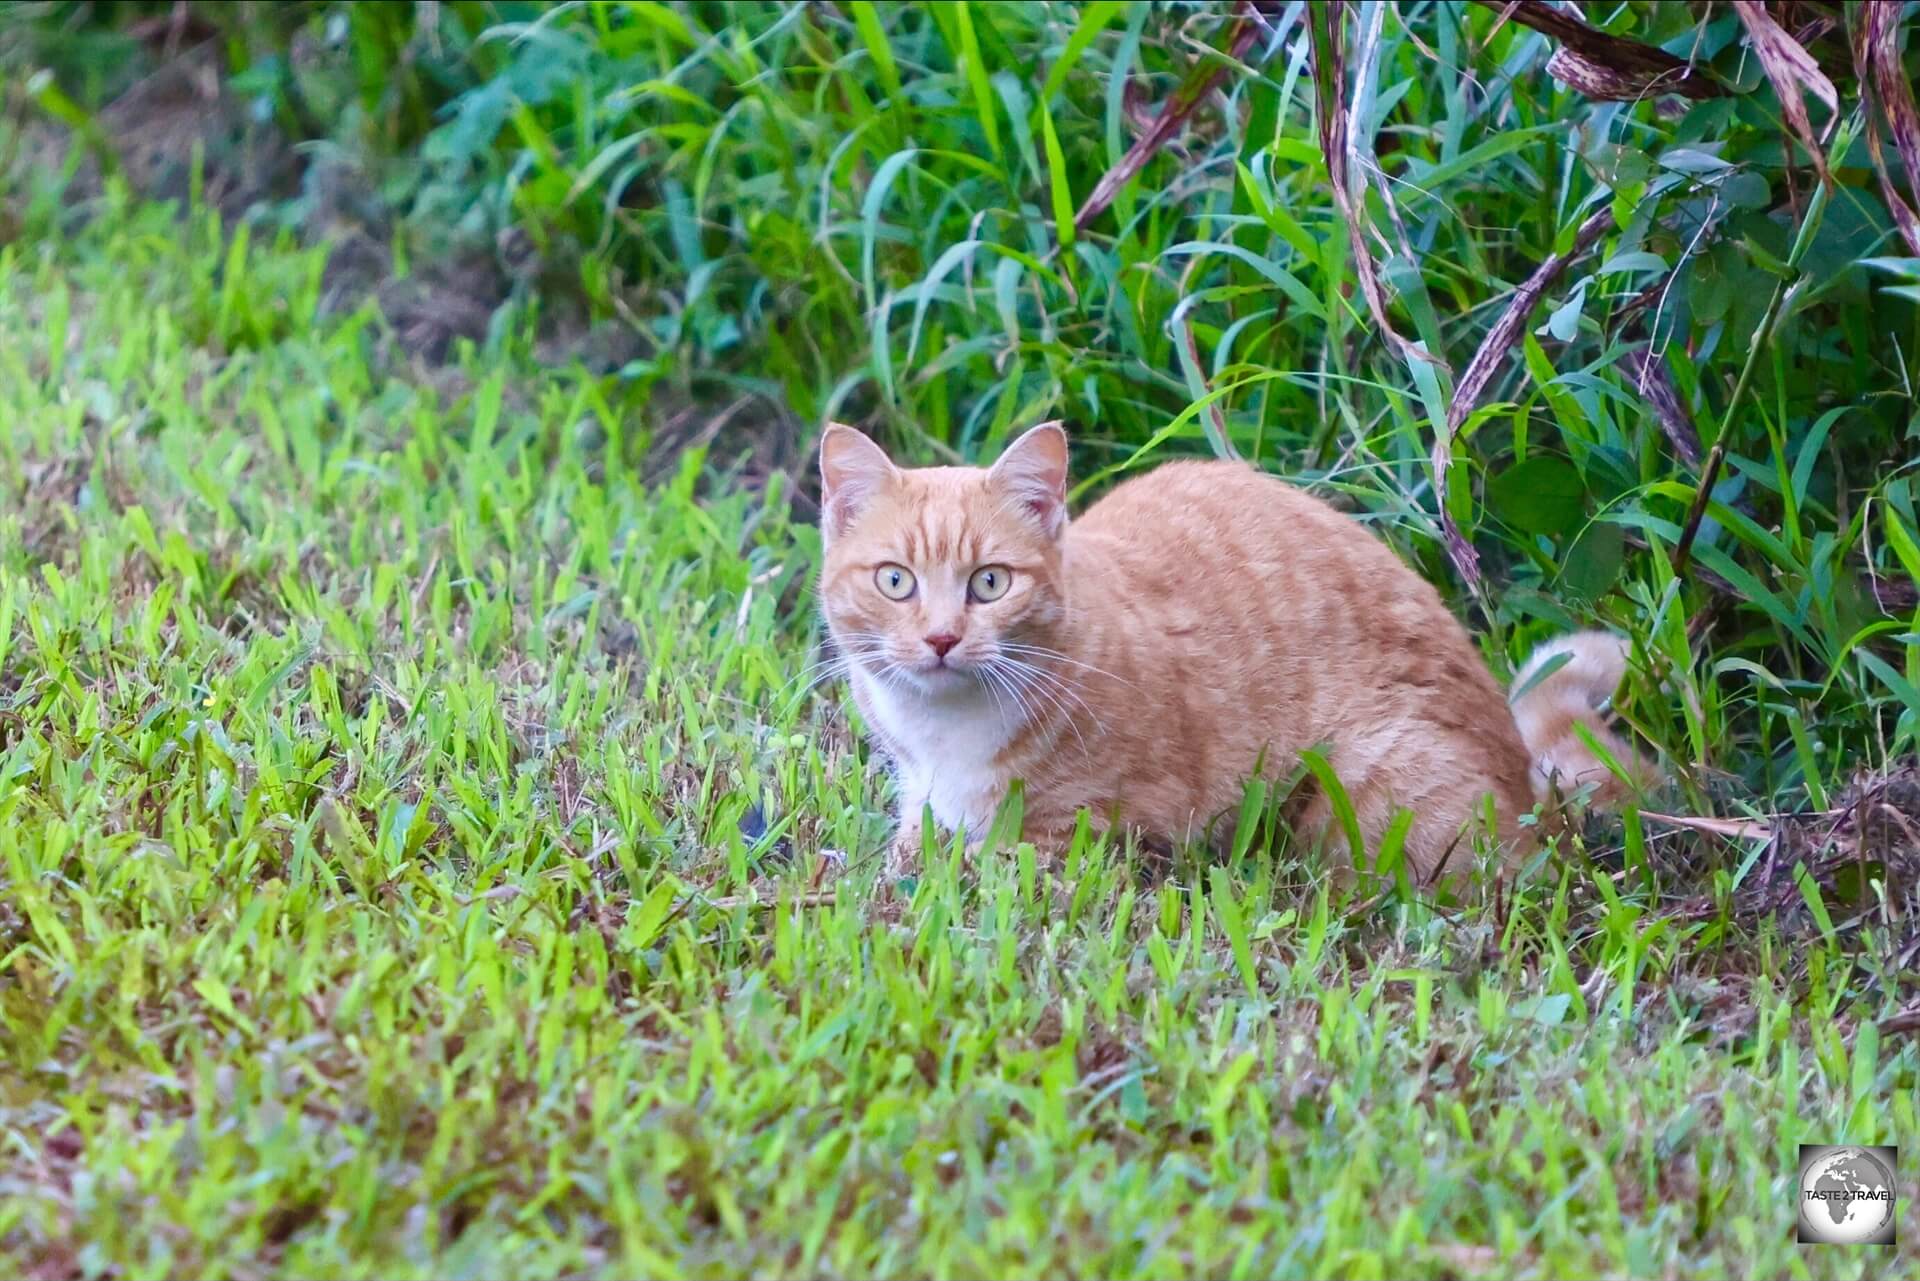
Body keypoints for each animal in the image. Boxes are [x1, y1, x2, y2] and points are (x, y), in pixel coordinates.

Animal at [814, 420, 1651, 883]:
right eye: (895, 580)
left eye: (989, 582)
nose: (942, 637)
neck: (946, 732)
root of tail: (1532, 794)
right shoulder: (922, 802)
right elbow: (903, 858)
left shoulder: (1095, 828)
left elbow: (995, 870)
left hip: (1363, 789)